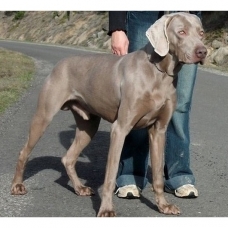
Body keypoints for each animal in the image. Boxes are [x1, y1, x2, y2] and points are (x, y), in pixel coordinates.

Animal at [10, 12, 207, 216]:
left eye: (201, 33)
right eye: (181, 32)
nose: (203, 52)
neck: (158, 72)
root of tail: (60, 63)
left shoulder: (158, 131)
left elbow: (158, 175)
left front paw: (163, 206)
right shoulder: (120, 129)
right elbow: (110, 175)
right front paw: (106, 209)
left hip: (88, 126)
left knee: (68, 158)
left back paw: (80, 188)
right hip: (44, 115)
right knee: (24, 151)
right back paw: (17, 186)